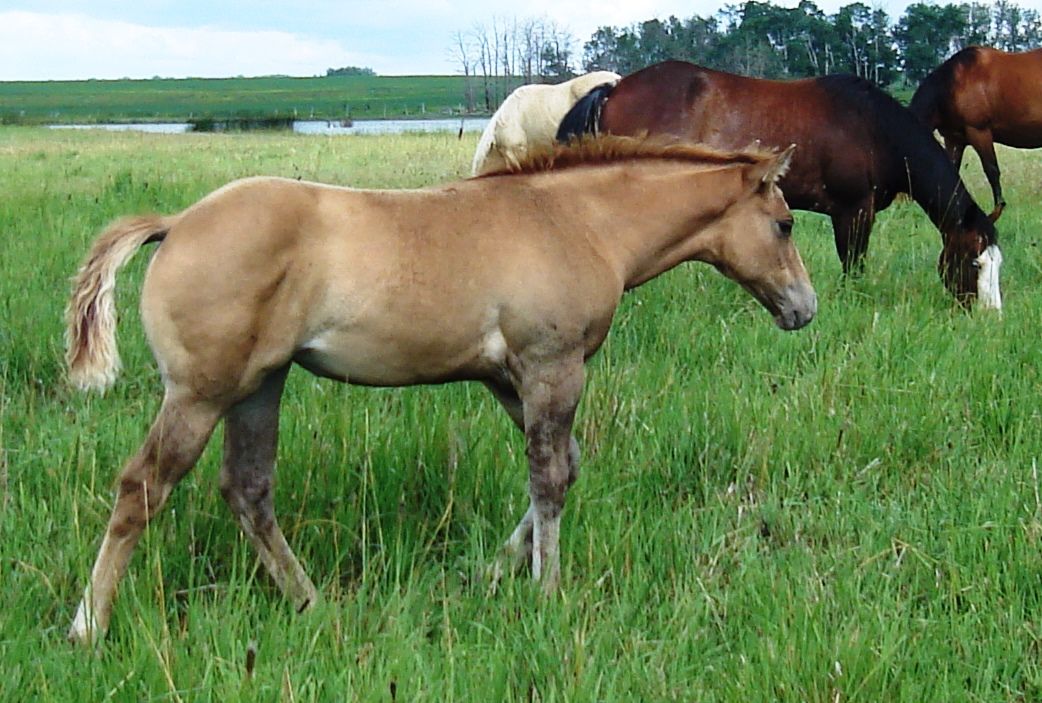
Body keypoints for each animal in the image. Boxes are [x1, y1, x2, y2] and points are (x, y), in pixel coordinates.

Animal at [64, 135, 816, 647]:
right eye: (784, 223)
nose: (804, 309)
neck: (577, 220)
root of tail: (176, 223)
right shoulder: (553, 366)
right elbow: (550, 478)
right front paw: (546, 590)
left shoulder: (508, 377)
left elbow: (563, 467)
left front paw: (492, 572)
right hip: (200, 392)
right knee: (142, 487)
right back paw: (89, 625)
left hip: (259, 384)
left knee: (247, 489)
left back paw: (313, 604)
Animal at [557, 60, 1003, 309]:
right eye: (974, 262)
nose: (989, 315)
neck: (873, 128)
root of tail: (614, 89)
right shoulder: (853, 211)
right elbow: (853, 266)